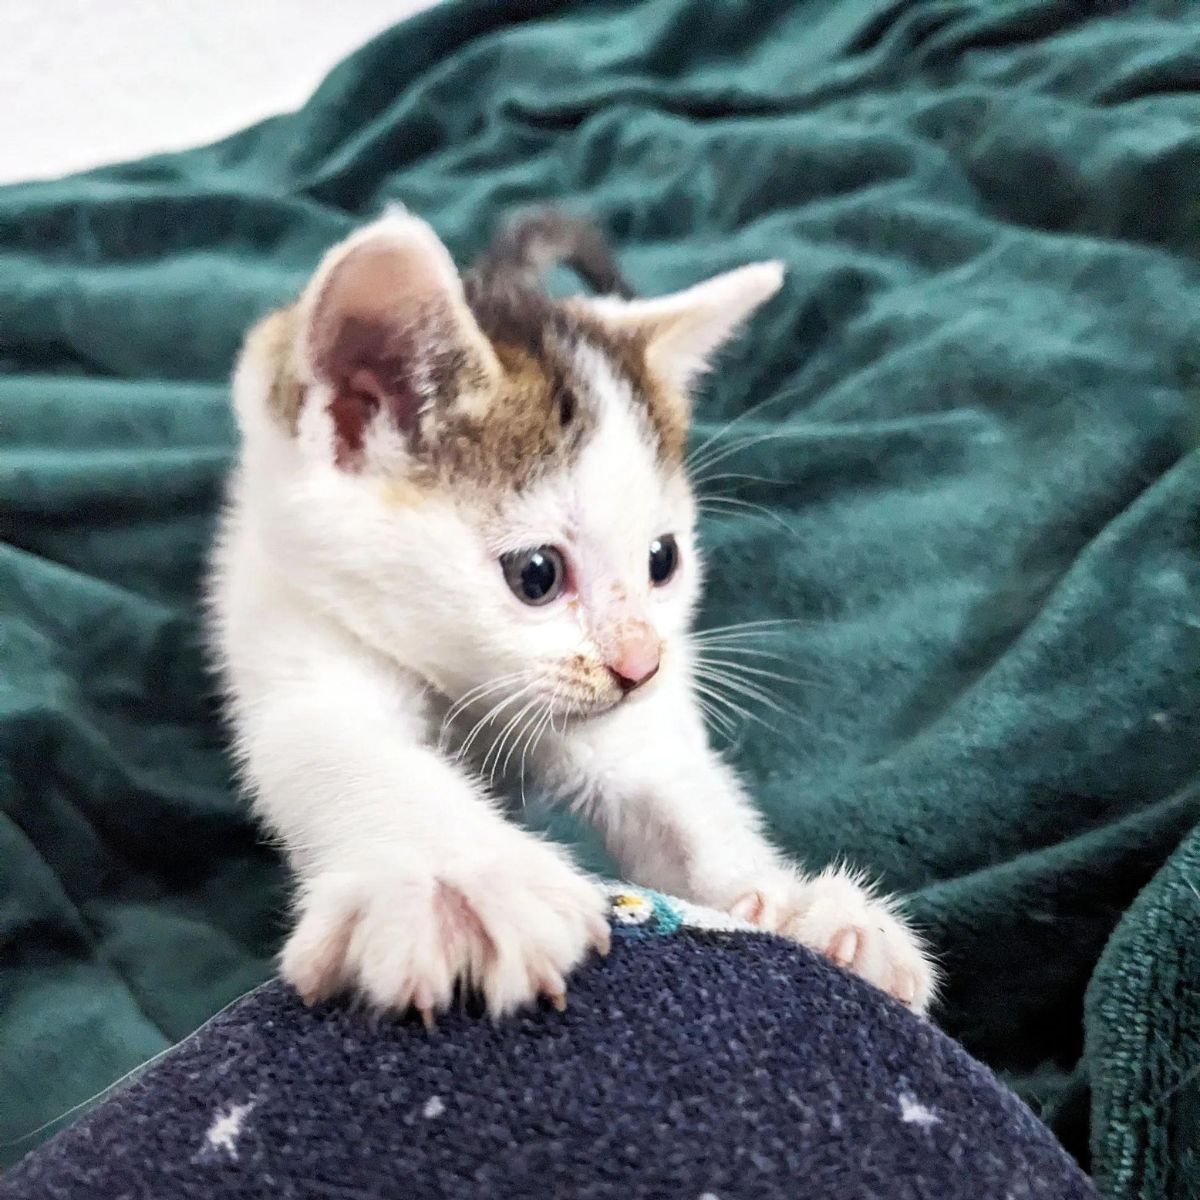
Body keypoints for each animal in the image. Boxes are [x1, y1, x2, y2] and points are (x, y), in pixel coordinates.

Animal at [208, 206, 936, 1022]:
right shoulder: (302, 641)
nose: (641, 665)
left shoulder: (635, 730)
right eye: (537, 574)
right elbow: (345, 751)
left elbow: (680, 800)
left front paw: (792, 904)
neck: (468, 696)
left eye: (663, 560)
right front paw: (454, 877)